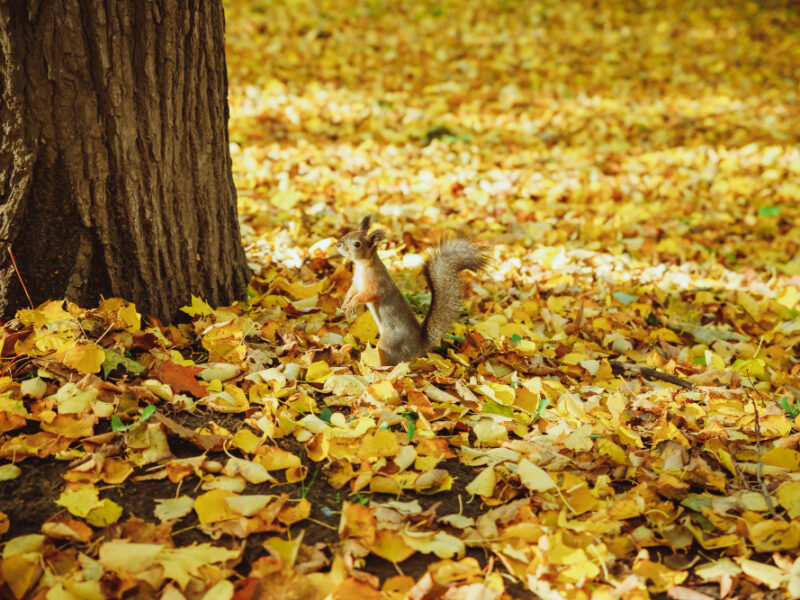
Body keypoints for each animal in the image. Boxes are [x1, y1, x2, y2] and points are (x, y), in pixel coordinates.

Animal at [336, 216, 488, 366]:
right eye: (348, 233)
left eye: (357, 244)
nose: (338, 244)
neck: (362, 265)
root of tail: (418, 347)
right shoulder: (356, 282)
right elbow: (351, 291)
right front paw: (345, 304)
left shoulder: (376, 284)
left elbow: (366, 295)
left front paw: (352, 304)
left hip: (389, 344)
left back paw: (378, 369)